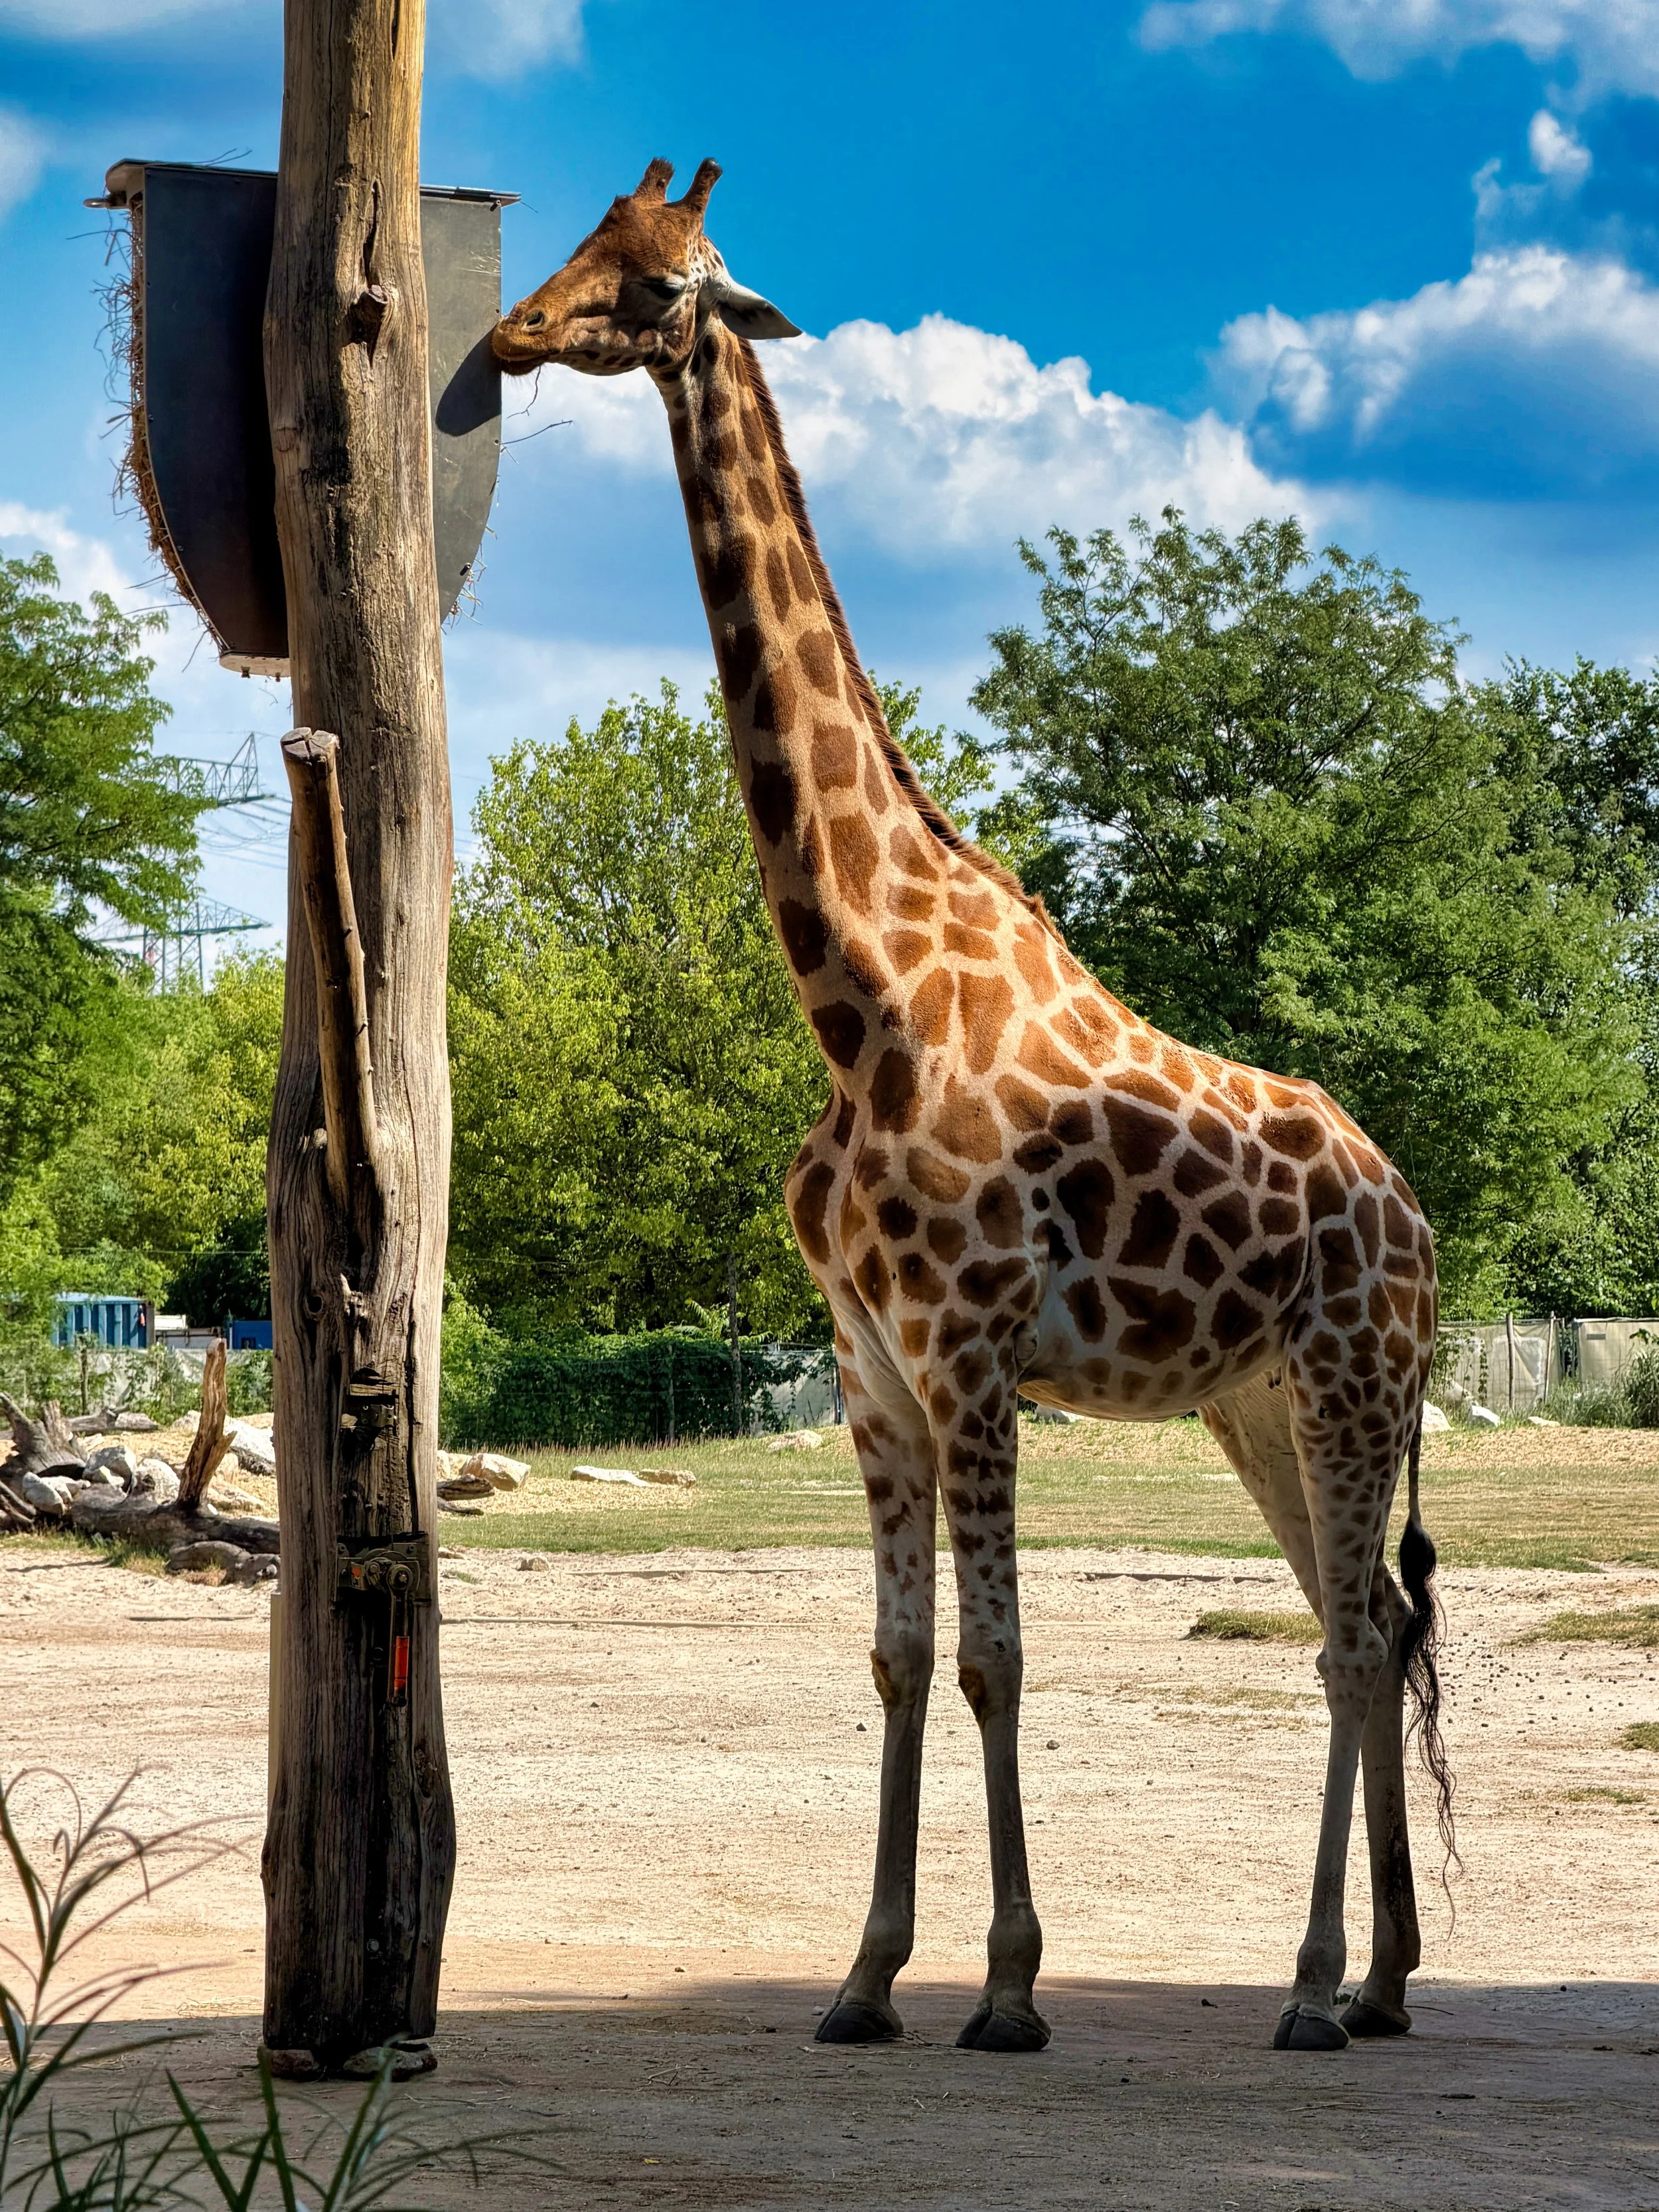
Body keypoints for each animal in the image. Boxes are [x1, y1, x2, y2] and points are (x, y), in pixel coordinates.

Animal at [492, 158, 1454, 2057]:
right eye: (579, 240)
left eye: (655, 284)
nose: (504, 333)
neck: (855, 997)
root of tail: (1418, 1221)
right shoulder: (871, 1361)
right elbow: (896, 1655)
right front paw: (865, 1975)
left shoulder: (971, 1347)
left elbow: (1000, 1656)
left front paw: (1007, 1985)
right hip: (1255, 1401)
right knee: (1363, 1614)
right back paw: (1382, 1978)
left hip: (1345, 1379)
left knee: (1350, 1637)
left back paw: (1312, 1986)